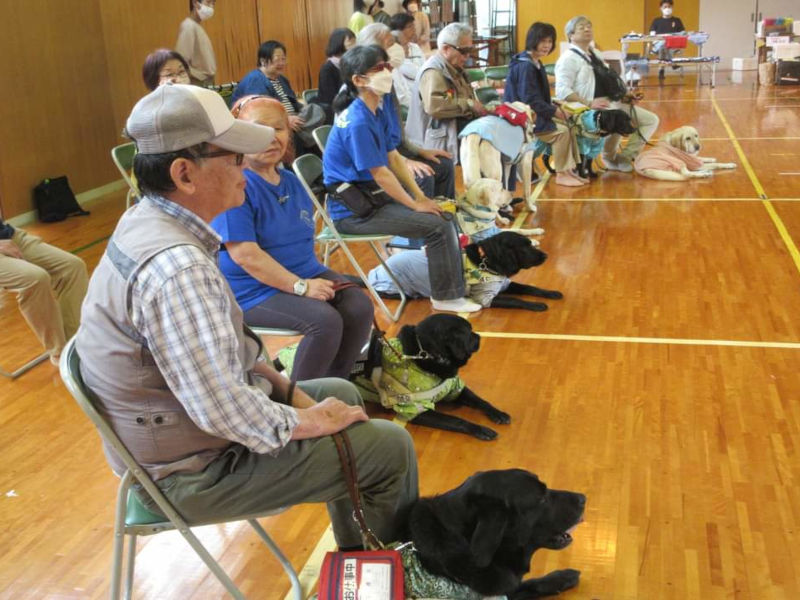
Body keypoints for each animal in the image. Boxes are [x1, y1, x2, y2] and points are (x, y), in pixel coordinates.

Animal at [276, 314, 512, 440]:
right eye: (468, 333)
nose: (478, 336)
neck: (426, 356)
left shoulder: (454, 389)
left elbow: (481, 401)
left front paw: (497, 413)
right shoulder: (415, 410)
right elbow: (457, 420)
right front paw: (480, 429)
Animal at [368, 231, 564, 312]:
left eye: (530, 243)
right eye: (524, 247)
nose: (546, 255)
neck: (486, 261)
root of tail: (375, 271)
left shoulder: (504, 284)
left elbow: (530, 287)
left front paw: (551, 293)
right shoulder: (486, 297)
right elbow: (515, 300)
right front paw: (536, 305)